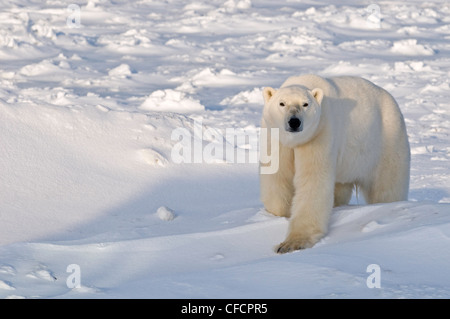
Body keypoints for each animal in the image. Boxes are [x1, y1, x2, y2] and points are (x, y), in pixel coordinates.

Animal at [260, 75, 412, 255]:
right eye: (282, 103)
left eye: (305, 104)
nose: (294, 122)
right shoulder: (275, 138)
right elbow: (277, 177)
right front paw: (280, 214)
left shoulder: (320, 133)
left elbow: (313, 182)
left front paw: (291, 244)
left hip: (386, 140)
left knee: (387, 186)